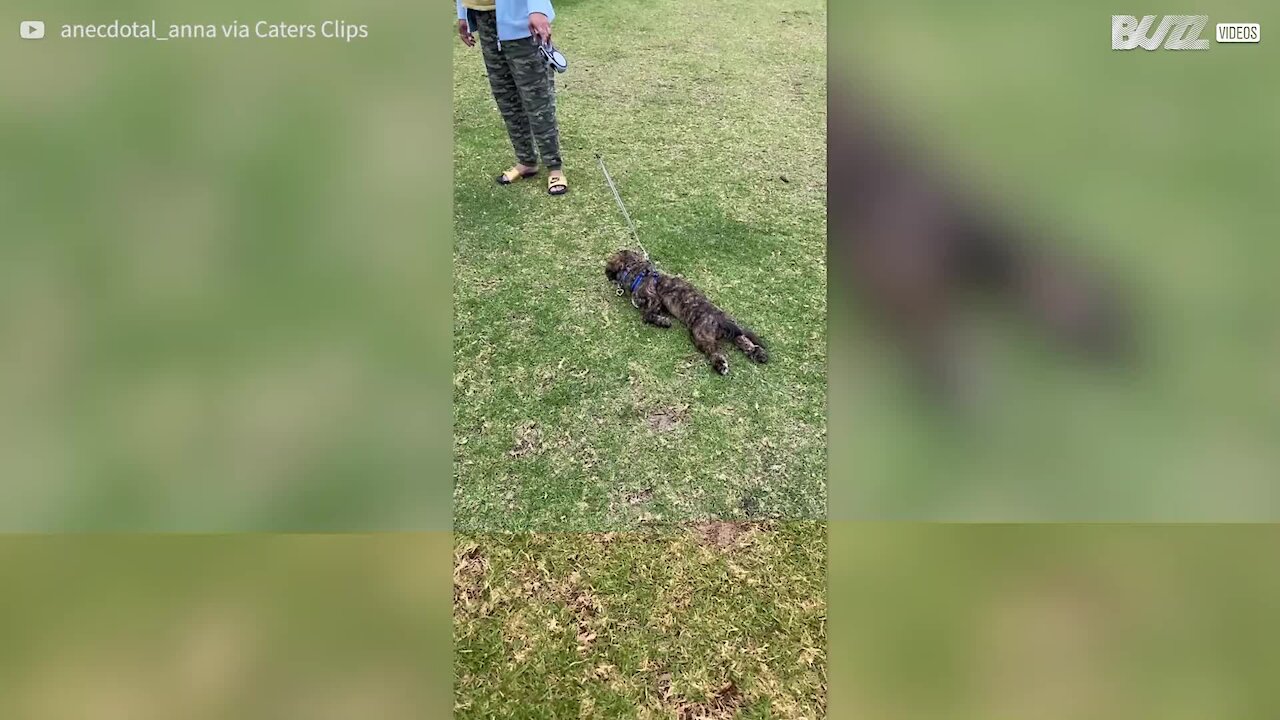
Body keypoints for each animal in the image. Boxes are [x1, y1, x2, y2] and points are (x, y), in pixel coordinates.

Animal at [604, 248, 762, 376]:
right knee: (743, 340)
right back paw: (759, 353)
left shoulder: (654, 299)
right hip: (734, 331)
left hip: (700, 336)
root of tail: (720, 319)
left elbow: (646, 315)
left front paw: (663, 321)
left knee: (714, 351)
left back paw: (720, 365)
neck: (638, 272)